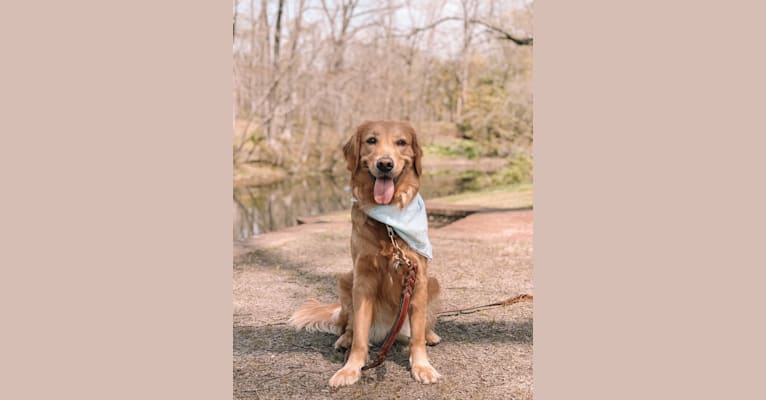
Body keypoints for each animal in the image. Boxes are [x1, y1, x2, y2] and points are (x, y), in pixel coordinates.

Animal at [290, 119, 444, 388]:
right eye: (372, 140)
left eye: (401, 142)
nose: (385, 164)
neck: (390, 221)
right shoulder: (362, 280)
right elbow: (360, 336)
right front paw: (351, 369)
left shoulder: (418, 277)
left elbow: (416, 337)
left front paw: (422, 366)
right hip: (345, 279)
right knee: (349, 326)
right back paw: (344, 340)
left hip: (432, 282)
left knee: (421, 325)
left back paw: (430, 335)